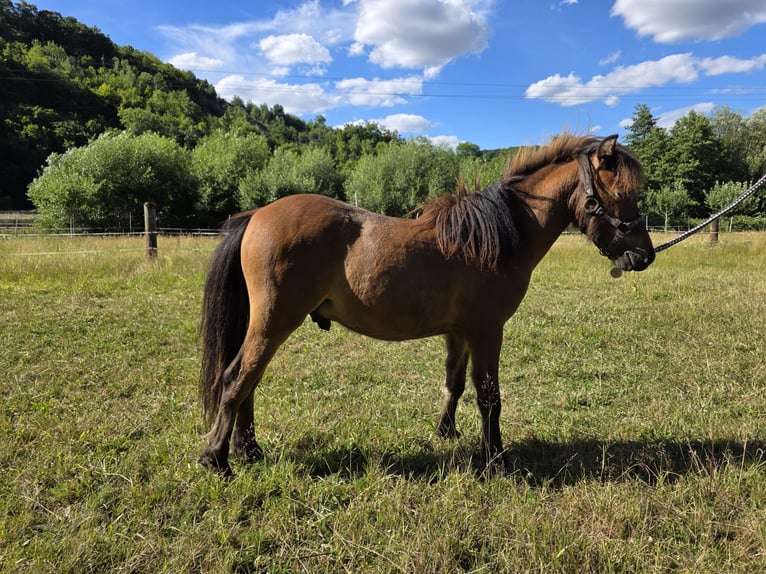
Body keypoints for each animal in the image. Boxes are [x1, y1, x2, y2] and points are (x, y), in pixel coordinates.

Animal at [199, 134, 655, 477]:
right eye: (623, 193)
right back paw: (217, 459)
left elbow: (455, 384)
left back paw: (248, 450)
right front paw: (495, 459)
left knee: (249, 382)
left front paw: (445, 432)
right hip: (273, 322)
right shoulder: (487, 330)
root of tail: (258, 214)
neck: (493, 236)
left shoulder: (459, 333)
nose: (644, 256)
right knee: (237, 378)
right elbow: (489, 395)